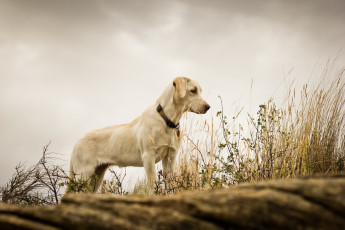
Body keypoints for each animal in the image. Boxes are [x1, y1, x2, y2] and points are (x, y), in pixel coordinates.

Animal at [69, 77, 210, 192]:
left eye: (200, 91)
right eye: (193, 90)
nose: (208, 107)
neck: (167, 120)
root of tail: (77, 142)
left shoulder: (170, 158)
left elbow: (170, 184)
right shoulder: (148, 156)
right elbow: (153, 185)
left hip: (96, 176)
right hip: (84, 174)